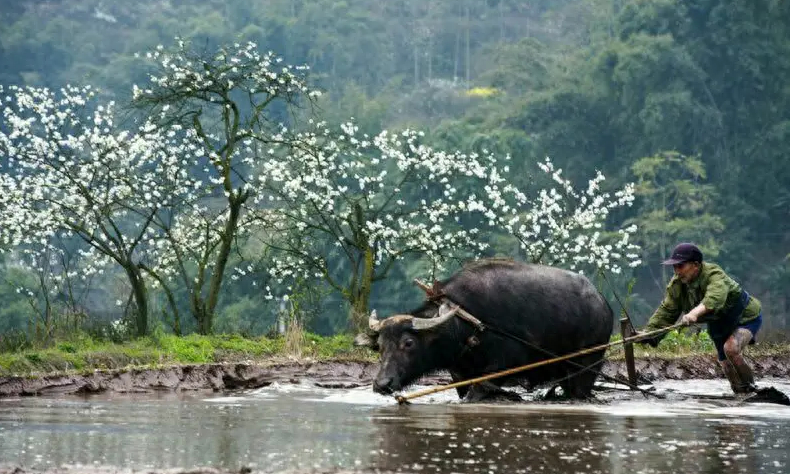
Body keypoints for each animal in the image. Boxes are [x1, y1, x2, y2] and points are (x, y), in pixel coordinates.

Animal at [356, 260, 616, 400]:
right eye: (379, 346)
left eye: (408, 343)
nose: (382, 384)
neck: (466, 325)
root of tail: (603, 304)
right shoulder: (459, 374)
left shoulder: (501, 366)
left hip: (588, 363)